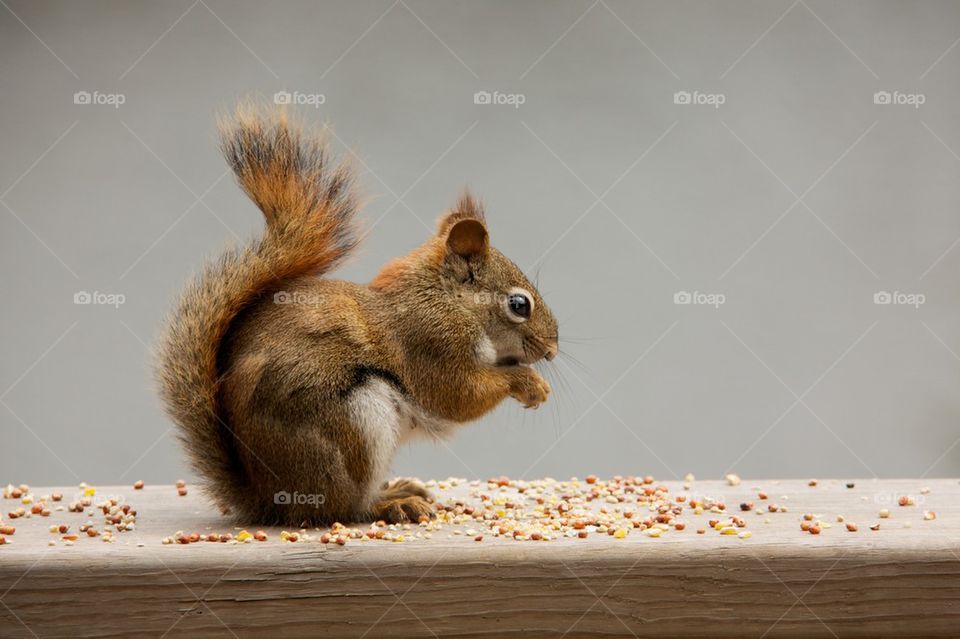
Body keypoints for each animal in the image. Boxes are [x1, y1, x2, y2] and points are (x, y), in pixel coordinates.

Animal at [155, 104, 558, 526]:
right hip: (354, 426)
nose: (551, 350)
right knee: (344, 507)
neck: (447, 299)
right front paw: (527, 382)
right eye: (519, 305)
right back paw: (389, 503)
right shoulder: (431, 343)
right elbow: (457, 395)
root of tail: (268, 502)